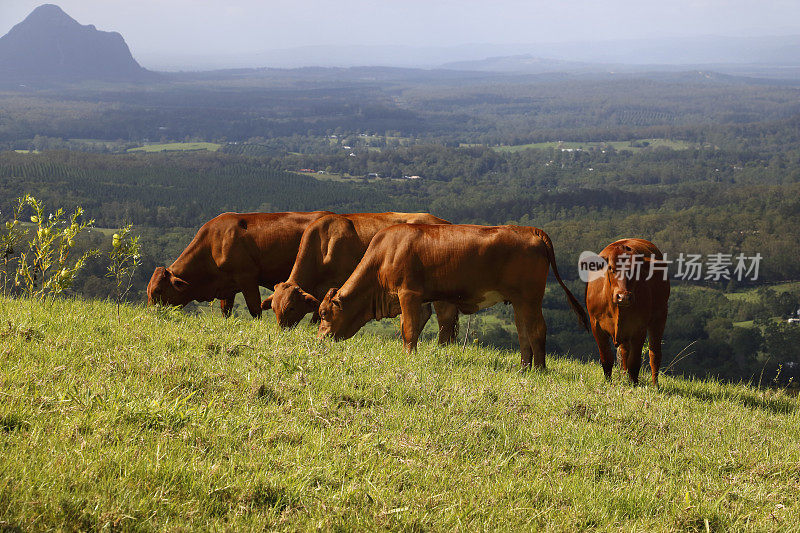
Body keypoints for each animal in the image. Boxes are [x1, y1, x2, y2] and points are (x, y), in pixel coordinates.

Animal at [147, 209, 332, 316]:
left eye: (158, 290)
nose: (151, 314)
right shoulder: (227, 286)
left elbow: (255, 309)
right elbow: (225, 311)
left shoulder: (247, 278)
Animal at [268, 213, 460, 344]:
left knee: (444, 315)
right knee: (424, 312)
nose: (281, 331)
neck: (323, 245)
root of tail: (445, 222)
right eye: (273, 308)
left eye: (291, 307)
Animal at [318, 222, 588, 368]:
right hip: (519, 301)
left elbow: (409, 329)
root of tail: (531, 230)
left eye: (323, 313)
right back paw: (523, 368)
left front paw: (409, 356)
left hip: (531, 297)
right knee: (524, 333)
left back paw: (539, 369)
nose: (320, 340)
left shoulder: (409, 293)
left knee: (537, 330)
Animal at [584, 239, 672, 384]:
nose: (623, 296)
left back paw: (655, 385)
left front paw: (634, 384)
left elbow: (634, 362)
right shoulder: (596, 325)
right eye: (610, 268)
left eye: (637, 270)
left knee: (654, 354)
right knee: (624, 352)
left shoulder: (639, 328)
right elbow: (606, 358)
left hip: (660, 316)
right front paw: (608, 382)